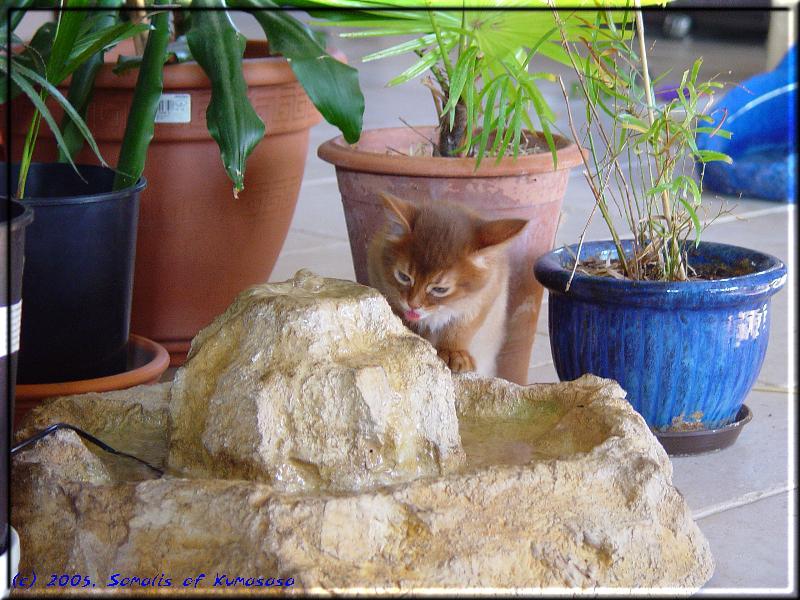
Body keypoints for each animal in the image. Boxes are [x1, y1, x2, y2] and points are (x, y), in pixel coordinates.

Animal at [366, 192, 528, 378]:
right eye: (403, 277)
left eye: (440, 289)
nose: (413, 304)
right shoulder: (379, 279)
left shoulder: (484, 298)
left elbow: (462, 328)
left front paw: (454, 352)